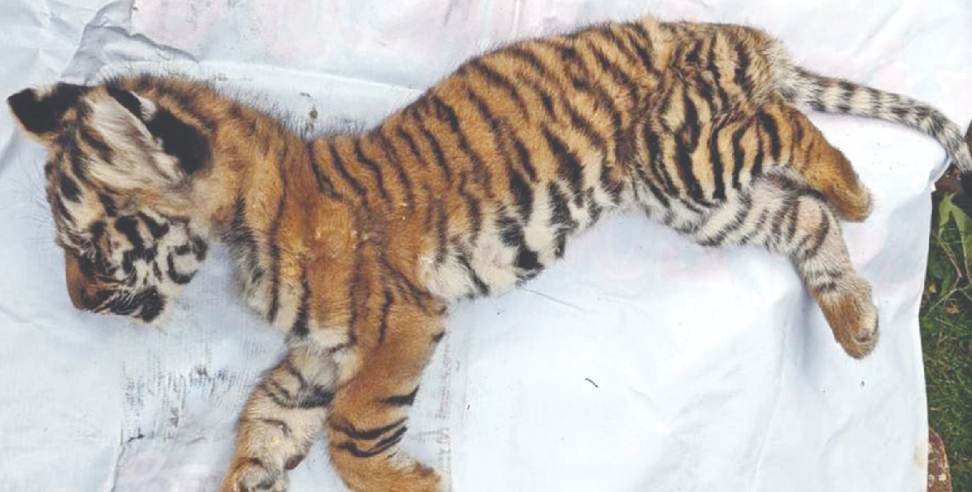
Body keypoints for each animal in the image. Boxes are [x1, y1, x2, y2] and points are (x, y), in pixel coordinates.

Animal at [7, 15, 972, 492]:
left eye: (89, 243)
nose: (75, 305)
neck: (245, 220)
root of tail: (711, 30)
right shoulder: (317, 355)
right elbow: (268, 427)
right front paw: (250, 484)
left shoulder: (397, 326)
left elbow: (353, 437)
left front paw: (414, 482)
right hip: (696, 200)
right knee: (799, 218)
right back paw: (855, 323)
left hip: (687, 148)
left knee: (793, 130)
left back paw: (857, 190)